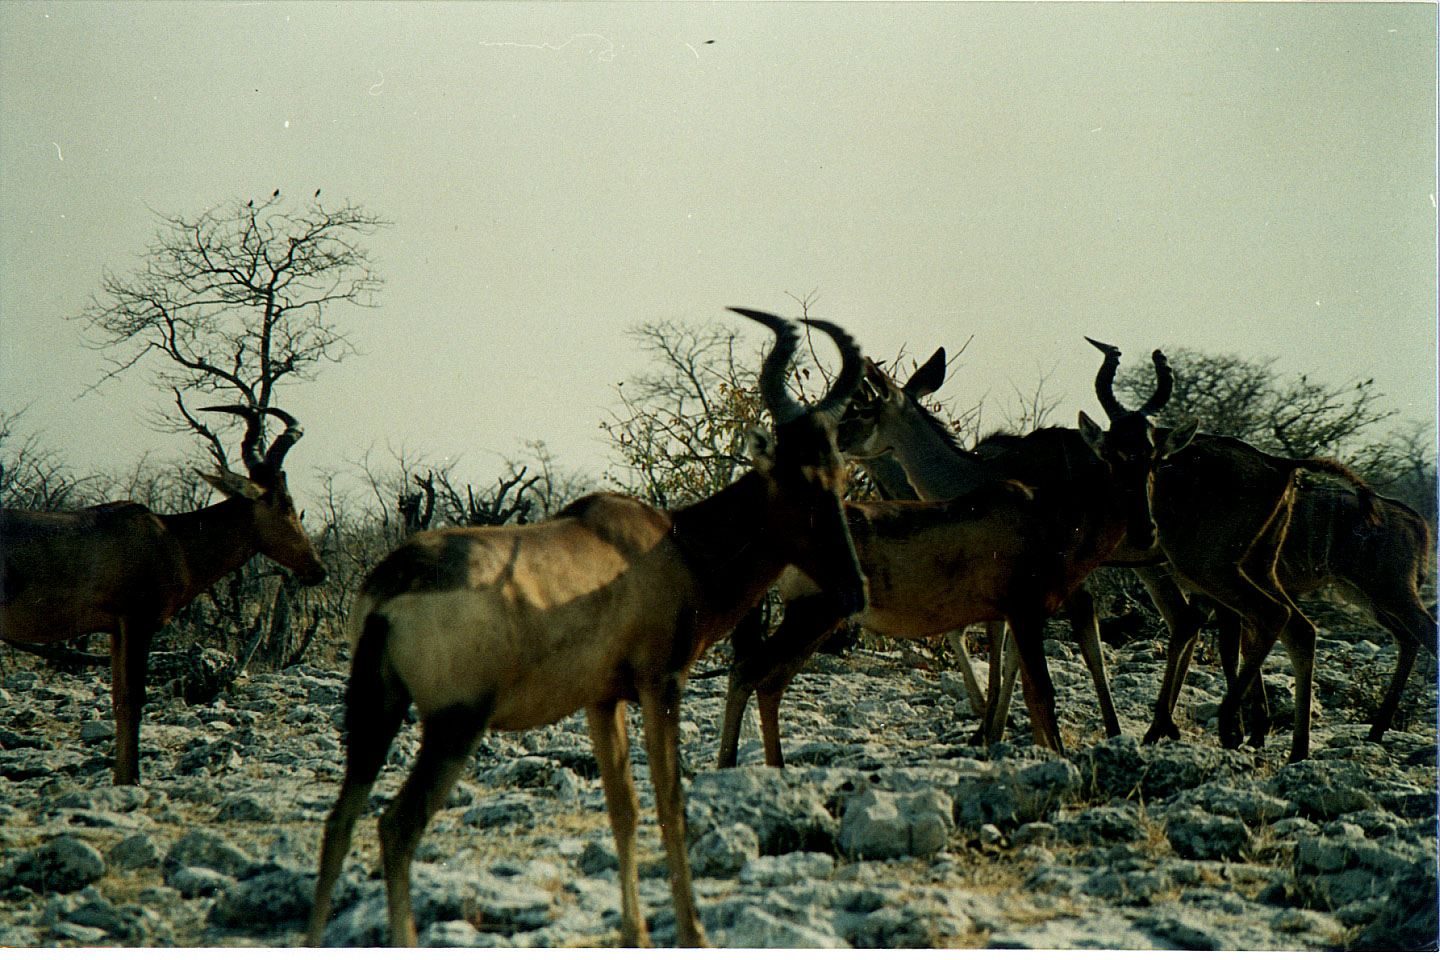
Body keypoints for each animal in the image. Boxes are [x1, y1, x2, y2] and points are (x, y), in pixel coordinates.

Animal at [0, 402, 325, 782]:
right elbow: (133, 699)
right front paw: (131, 781)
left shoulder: (116, 630)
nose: (317, 570)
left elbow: (118, 699)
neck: (169, 536)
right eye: (284, 502)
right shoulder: (137, 623)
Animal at [305, 312, 864, 949]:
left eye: (842, 471)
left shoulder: (603, 698)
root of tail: (390, 588)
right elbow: (671, 801)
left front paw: (636, 933)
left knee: (340, 821)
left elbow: (623, 808)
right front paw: (692, 933)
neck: (671, 543)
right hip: (454, 723)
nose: (853, 591)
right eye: (796, 477)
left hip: (376, 708)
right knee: (397, 827)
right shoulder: (661, 683)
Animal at [840, 341, 1382, 759]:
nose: (839, 437)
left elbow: (1040, 642)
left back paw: (1218, 726)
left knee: (1258, 619)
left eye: (863, 407)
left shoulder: (1043, 585)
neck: (979, 471)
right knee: (1282, 626)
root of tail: (1280, 466)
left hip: (1205, 565)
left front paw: (997, 730)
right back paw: (1269, 739)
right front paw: (993, 730)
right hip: (1237, 566)